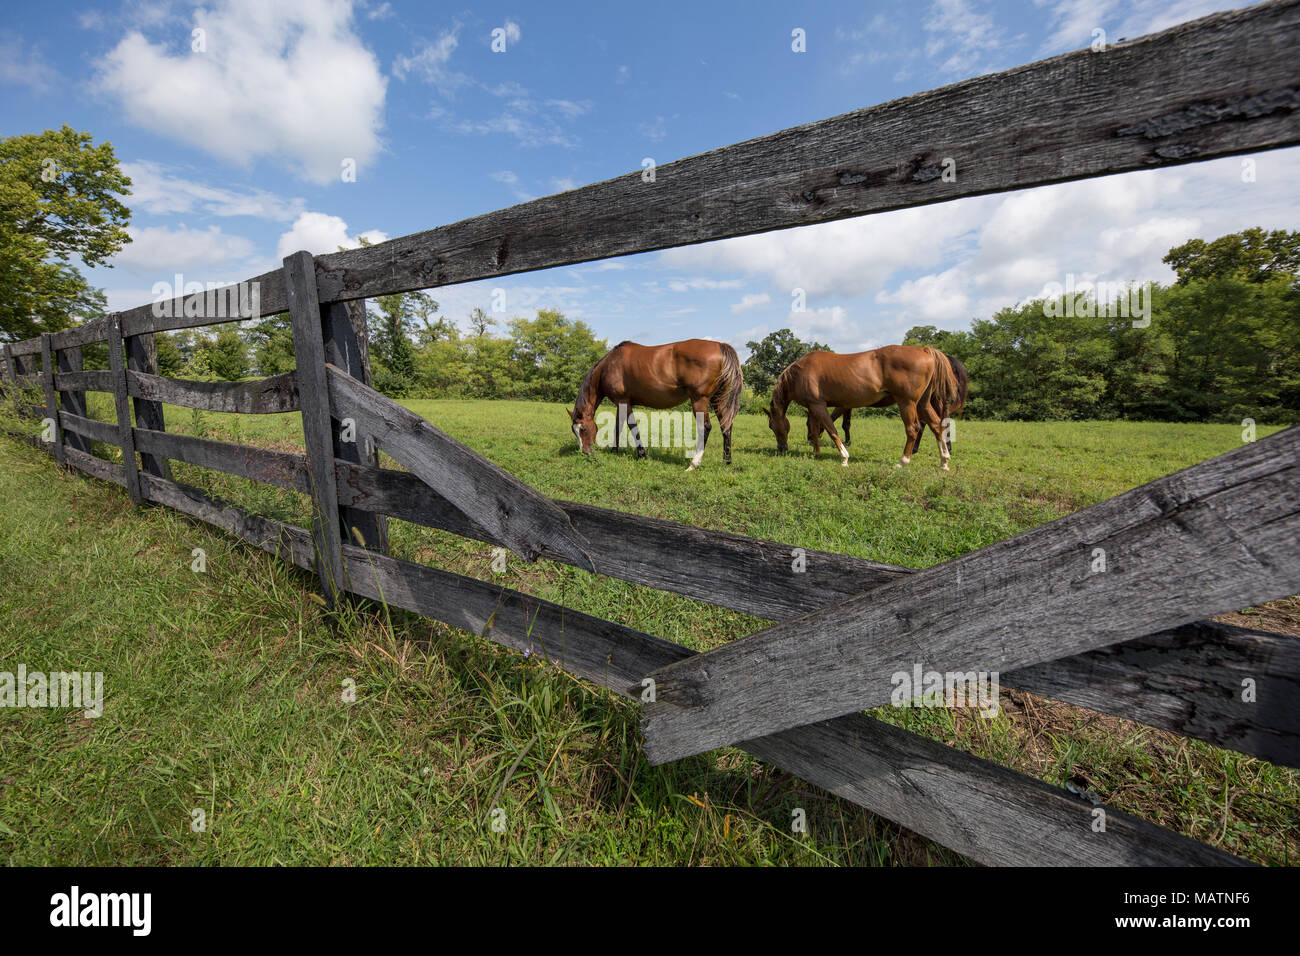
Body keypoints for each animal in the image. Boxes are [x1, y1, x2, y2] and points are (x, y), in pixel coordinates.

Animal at [568, 338, 744, 470]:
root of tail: (719, 345)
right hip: (717, 399)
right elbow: (618, 427)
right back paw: (726, 461)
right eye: (574, 431)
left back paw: (694, 464)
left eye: (583, 429)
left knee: (705, 427)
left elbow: (632, 427)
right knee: (726, 425)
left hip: (699, 400)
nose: (585, 452)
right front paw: (614, 450)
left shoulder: (624, 402)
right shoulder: (621, 404)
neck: (609, 365)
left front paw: (642, 454)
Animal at [763, 345, 968, 470]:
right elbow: (815, 430)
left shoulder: (819, 406)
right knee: (937, 426)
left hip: (908, 403)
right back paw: (944, 461)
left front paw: (844, 457)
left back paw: (902, 461)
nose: (781, 448)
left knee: (913, 429)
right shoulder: (813, 408)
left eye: (772, 426)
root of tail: (924, 350)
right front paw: (816, 453)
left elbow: (831, 430)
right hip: (922, 404)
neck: (799, 373)